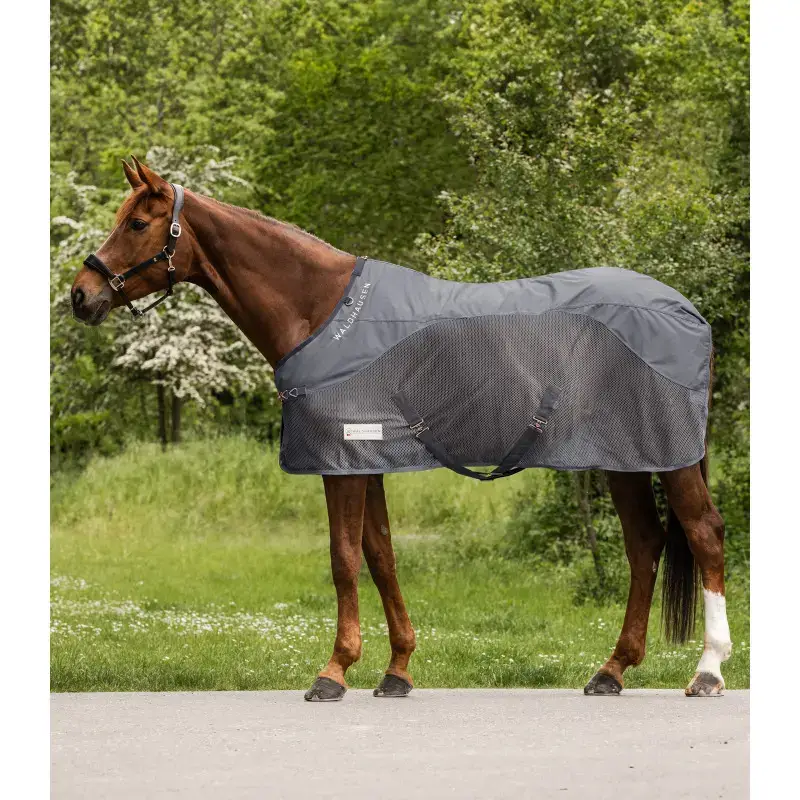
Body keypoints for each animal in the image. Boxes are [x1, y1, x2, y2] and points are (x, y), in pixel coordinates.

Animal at [69, 157, 733, 701]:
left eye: (137, 224)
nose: (81, 294)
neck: (320, 310)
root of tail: (687, 310)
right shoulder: (366, 461)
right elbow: (381, 555)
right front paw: (397, 670)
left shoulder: (341, 462)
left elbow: (343, 558)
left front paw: (334, 672)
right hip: (625, 459)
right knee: (645, 544)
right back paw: (611, 671)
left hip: (668, 457)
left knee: (704, 535)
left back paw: (707, 671)